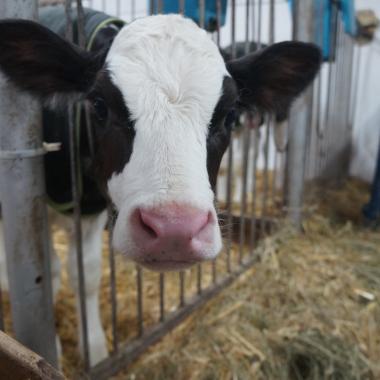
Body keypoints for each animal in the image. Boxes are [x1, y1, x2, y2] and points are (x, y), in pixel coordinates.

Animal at [0, 12, 322, 366]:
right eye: (98, 105)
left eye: (230, 114)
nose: (174, 230)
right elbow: (46, 274)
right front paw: (51, 350)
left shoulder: (89, 209)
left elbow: (86, 273)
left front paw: (95, 349)